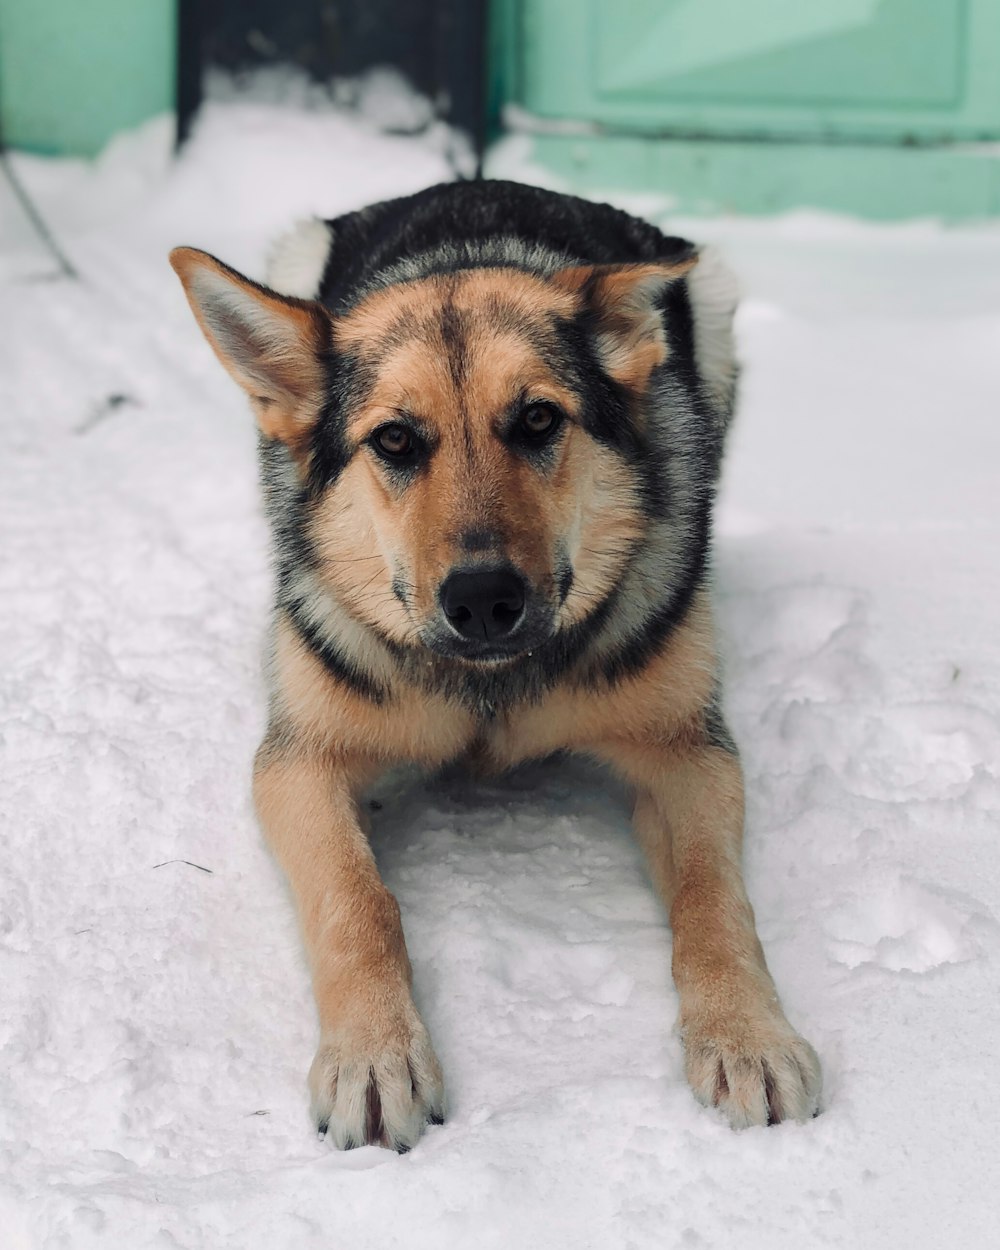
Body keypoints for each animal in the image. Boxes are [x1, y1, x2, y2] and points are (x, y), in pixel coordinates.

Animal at [167, 178, 815, 1150]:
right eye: (395, 441)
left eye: (539, 419)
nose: (482, 598)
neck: (490, 688)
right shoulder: (298, 763)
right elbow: (357, 902)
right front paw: (375, 1054)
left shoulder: (688, 756)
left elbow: (714, 899)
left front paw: (747, 1033)